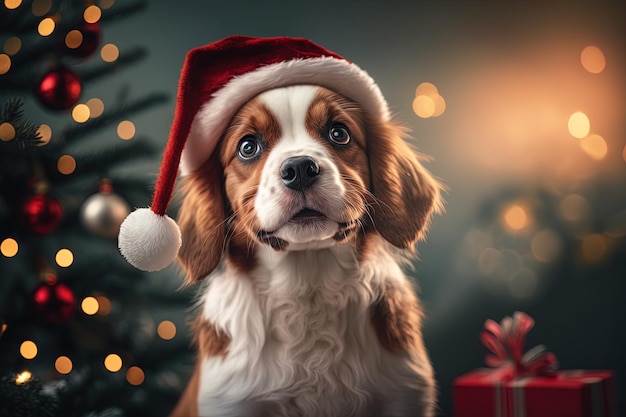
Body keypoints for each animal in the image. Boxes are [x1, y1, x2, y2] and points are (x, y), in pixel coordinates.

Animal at [166, 84, 438, 416]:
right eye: (247, 147)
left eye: (339, 133)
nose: (299, 168)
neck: (308, 283)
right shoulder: (229, 402)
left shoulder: (404, 394)